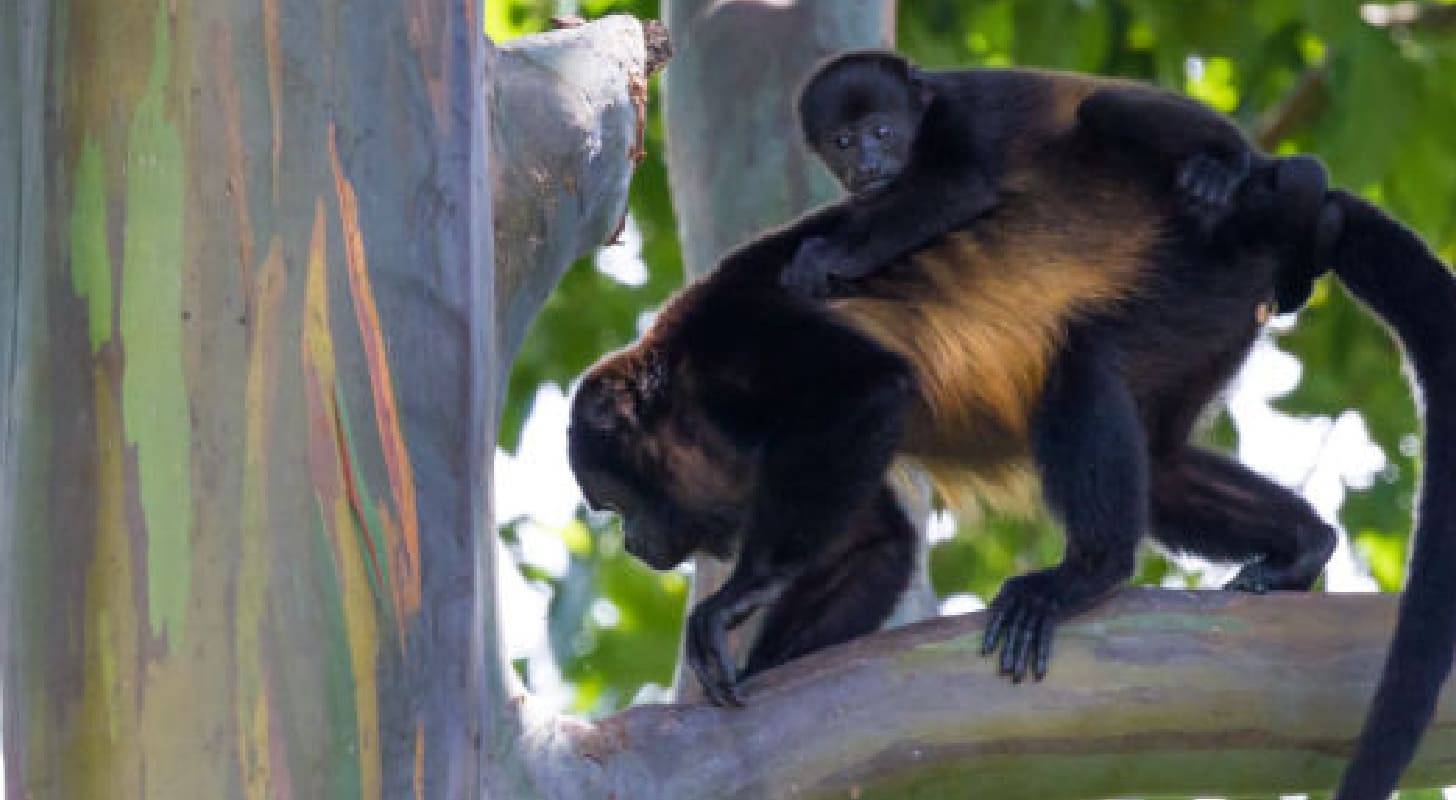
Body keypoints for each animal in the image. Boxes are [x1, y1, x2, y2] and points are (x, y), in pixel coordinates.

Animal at [569, 51, 1454, 800]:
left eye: (615, 502)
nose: (634, 545)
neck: (685, 385)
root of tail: (1247, 215)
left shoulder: (745, 339)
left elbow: (870, 387)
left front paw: (733, 600)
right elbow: (873, 544)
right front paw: (758, 666)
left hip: (1192, 279)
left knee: (1084, 366)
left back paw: (1085, 573)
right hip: (1219, 312)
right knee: (1161, 459)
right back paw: (1301, 544)